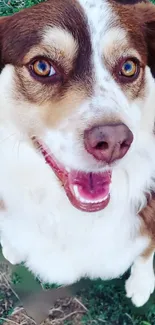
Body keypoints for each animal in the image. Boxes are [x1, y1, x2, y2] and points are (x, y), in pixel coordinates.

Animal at [0, 0, 155, 306]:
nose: (113, 140)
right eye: (42, 66)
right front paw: (12, 245)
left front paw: (142, 284)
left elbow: (147, 249)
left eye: (128, 67)